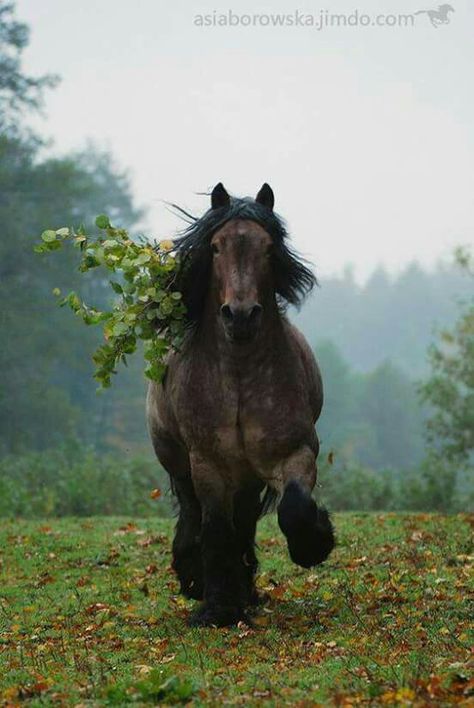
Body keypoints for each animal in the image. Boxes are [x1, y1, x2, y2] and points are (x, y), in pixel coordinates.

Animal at [146, 183, 336, 624]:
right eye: (215, 247)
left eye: (268, 248)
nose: (241, 316)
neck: (238, 375)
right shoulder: (208, 464)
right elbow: (216, 527)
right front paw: (216, 608)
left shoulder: (295, 452)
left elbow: (294, 509)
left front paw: (315, 544)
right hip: (179, 463)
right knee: (194, 514)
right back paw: (195, 578)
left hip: (249, 475)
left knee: (245, 520)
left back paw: (244, 586)